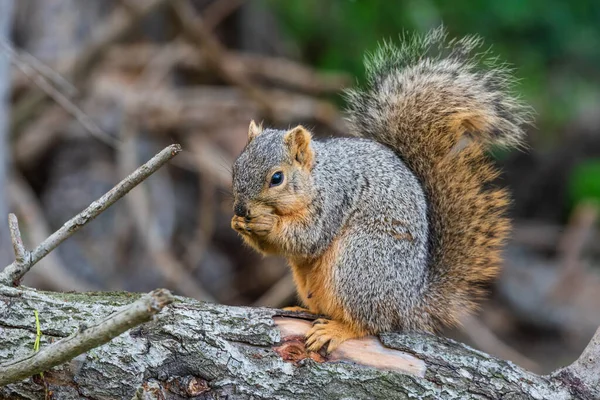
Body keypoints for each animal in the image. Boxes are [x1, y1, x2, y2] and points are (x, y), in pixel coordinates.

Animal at [232, 26, 532, 354]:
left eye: (277, 178)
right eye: (235, 167)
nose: (241, 208)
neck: (316, 179)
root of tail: (409, 304)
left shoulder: (335, 198)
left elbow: (307, 238)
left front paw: (265, 221)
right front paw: (238, 224)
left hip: (360, 262)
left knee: (369, 323)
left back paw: (336, 330)